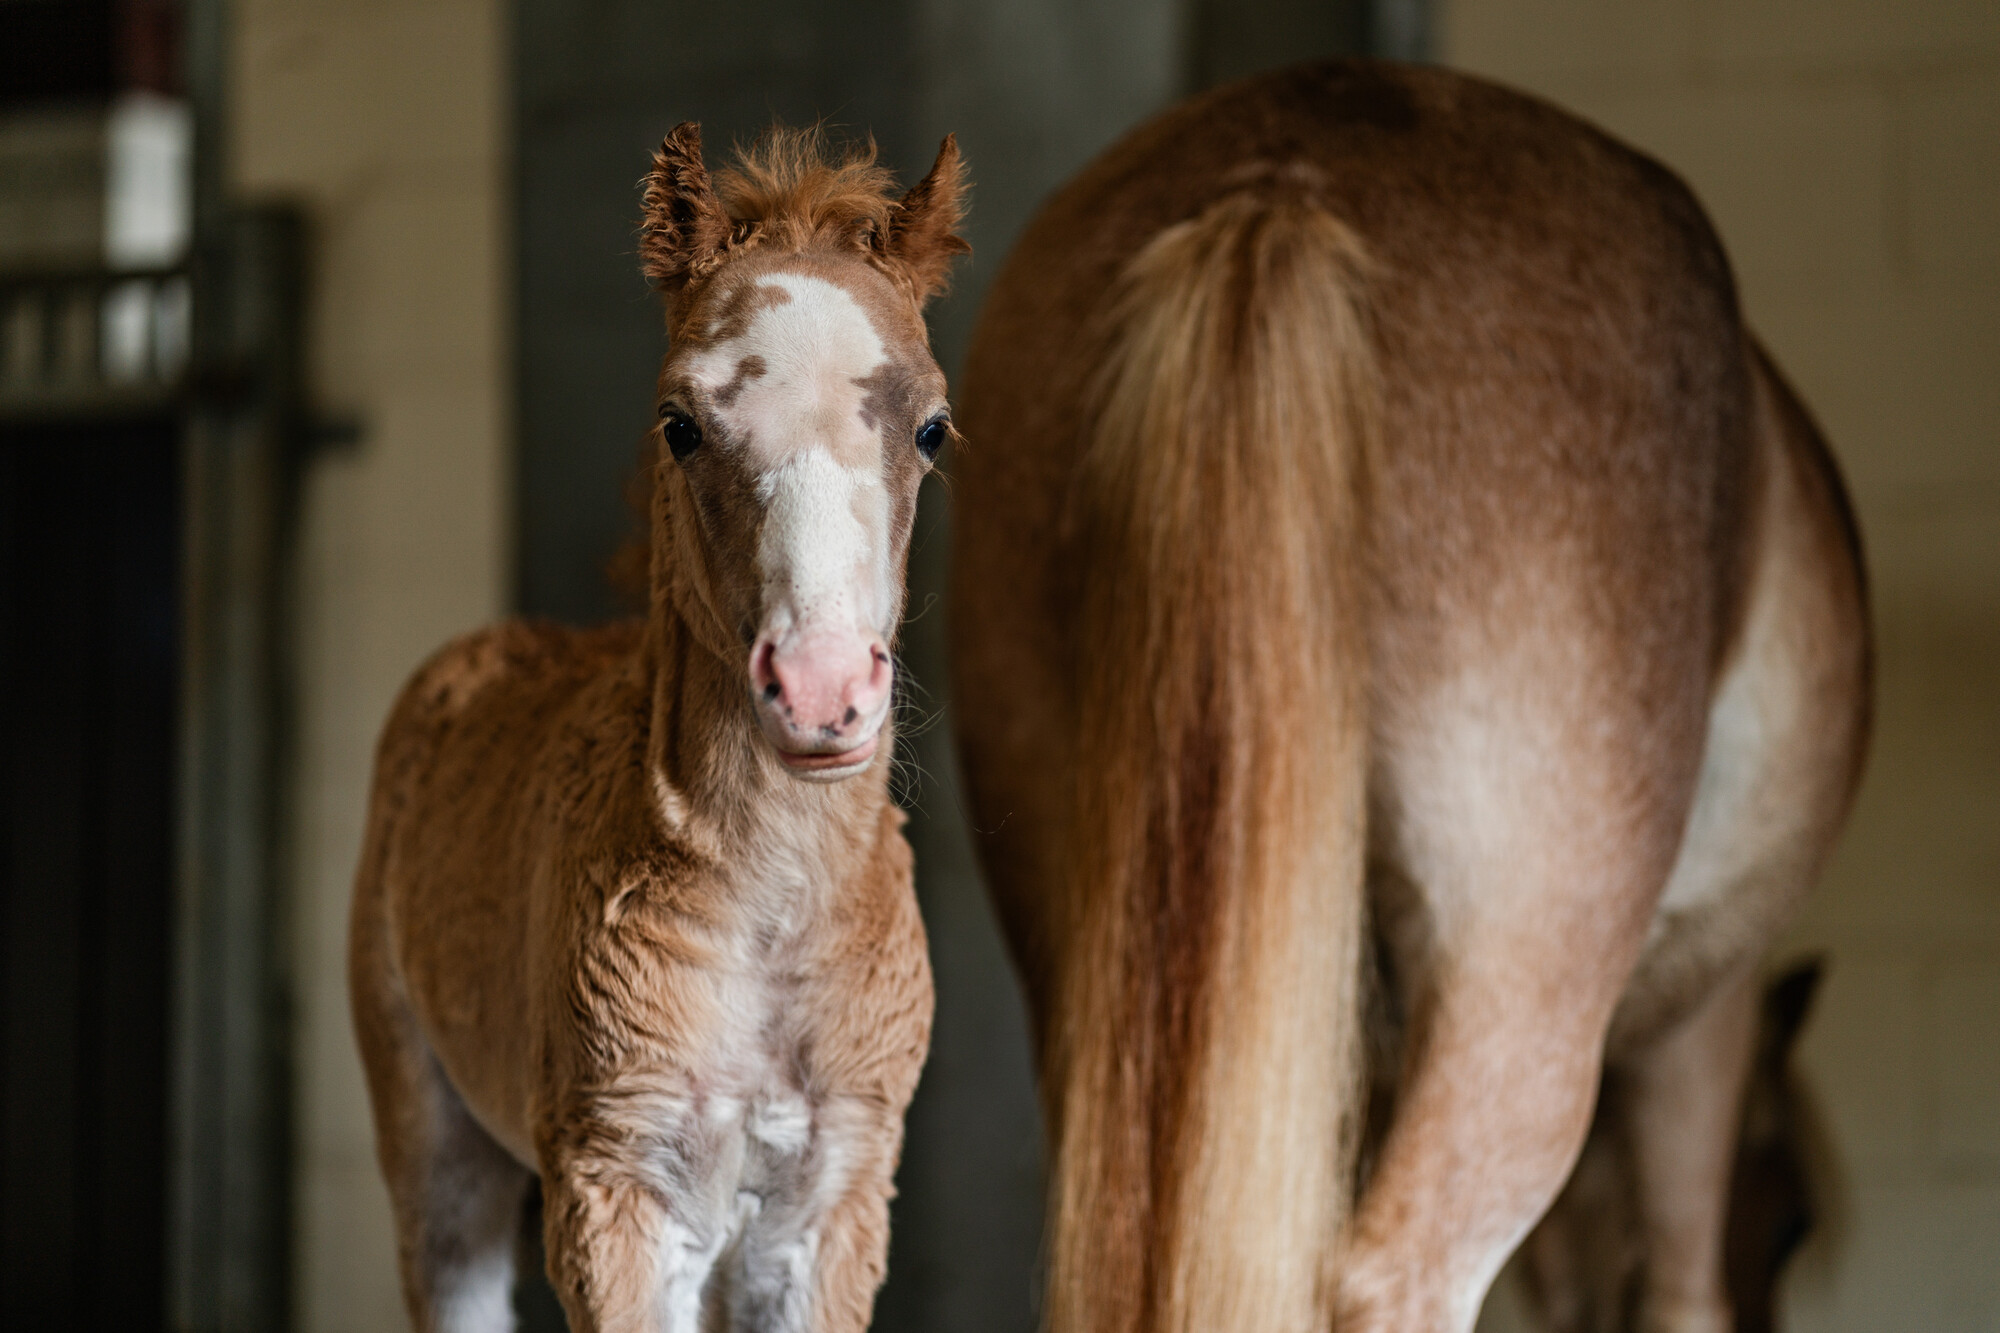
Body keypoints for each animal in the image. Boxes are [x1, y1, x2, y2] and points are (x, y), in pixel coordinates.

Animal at [349, 123, 968, 1333]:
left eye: (930, 428)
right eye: (679, 426)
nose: (820, 687)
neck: (772, 909)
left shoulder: (833, 1201)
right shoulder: (616, 1188)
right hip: (435, 1147)